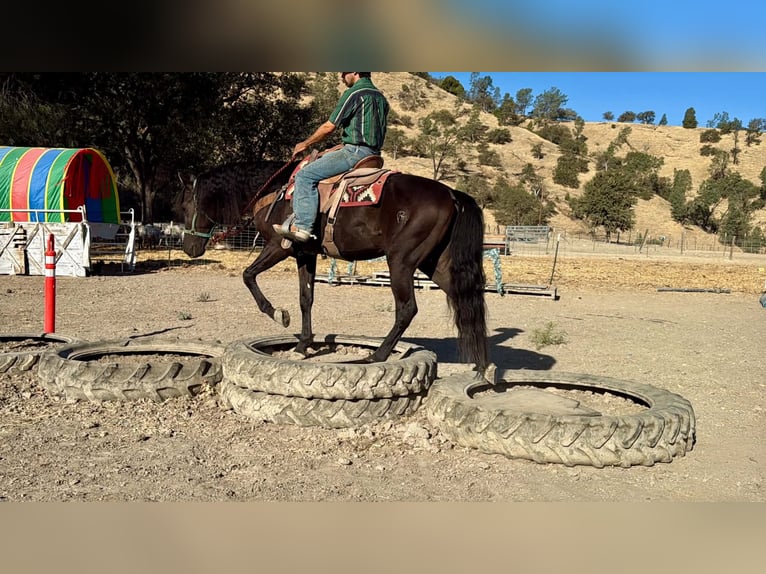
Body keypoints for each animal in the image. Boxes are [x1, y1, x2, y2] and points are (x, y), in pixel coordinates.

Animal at [179, 158, 493, 380]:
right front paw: (303, 345)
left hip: (401, 261)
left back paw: (376, 356)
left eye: (185, 206)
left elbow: (248, 275)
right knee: (466, 300)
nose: (188, 247)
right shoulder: (304, 253)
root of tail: (451, 194)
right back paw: (481, 365)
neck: (275, 191)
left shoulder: (279, 246)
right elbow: (306, 298)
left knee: (407, 309)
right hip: (434, 263)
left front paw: (278, 314)